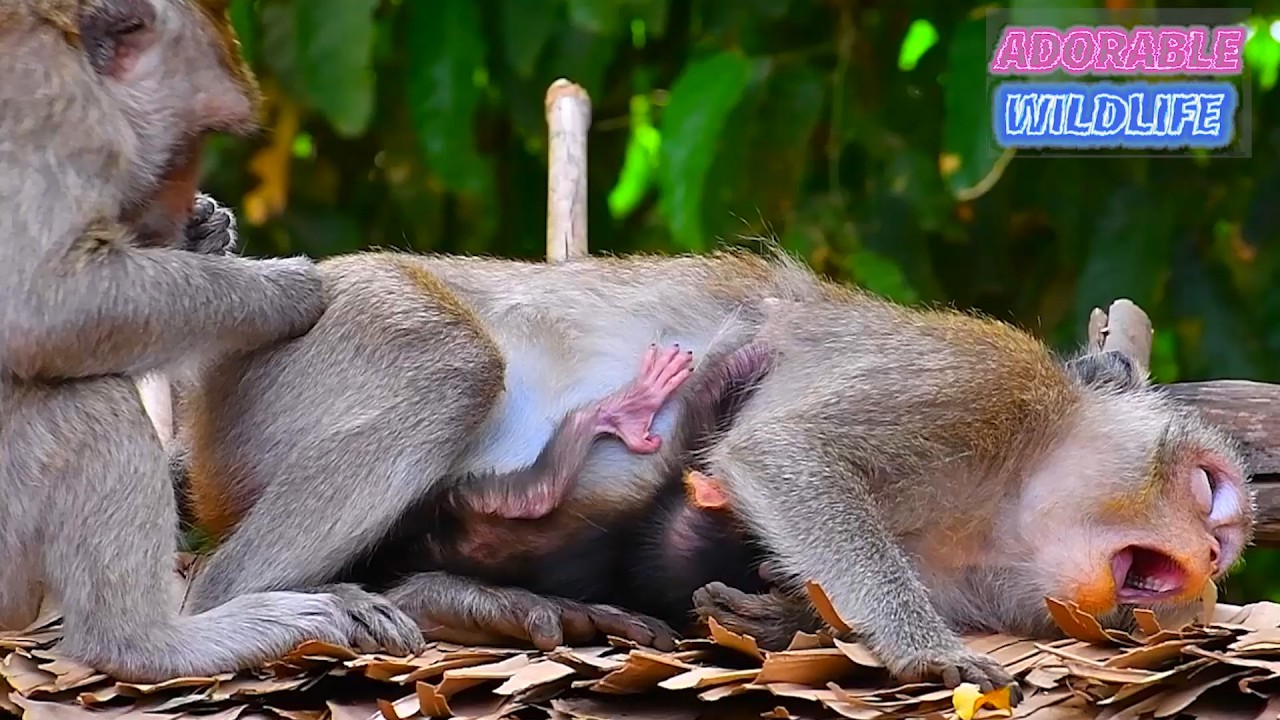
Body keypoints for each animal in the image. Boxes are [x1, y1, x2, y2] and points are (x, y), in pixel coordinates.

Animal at [0, 0, 424, 682]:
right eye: (195, 136)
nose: (179, 200)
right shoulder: (52, 108)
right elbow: (43, 306)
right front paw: (284, 291)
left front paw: (204, 235)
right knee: (82, 392)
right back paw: (145, 643)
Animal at [178, 249, 1253, 696]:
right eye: (1211, 490)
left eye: (1226, 550)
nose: (1211, 557)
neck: (1011, 496)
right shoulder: (981, 384)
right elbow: (783, 453)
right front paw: (924, 653)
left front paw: (771, 616)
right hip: (328, 326)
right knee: (448, 367)